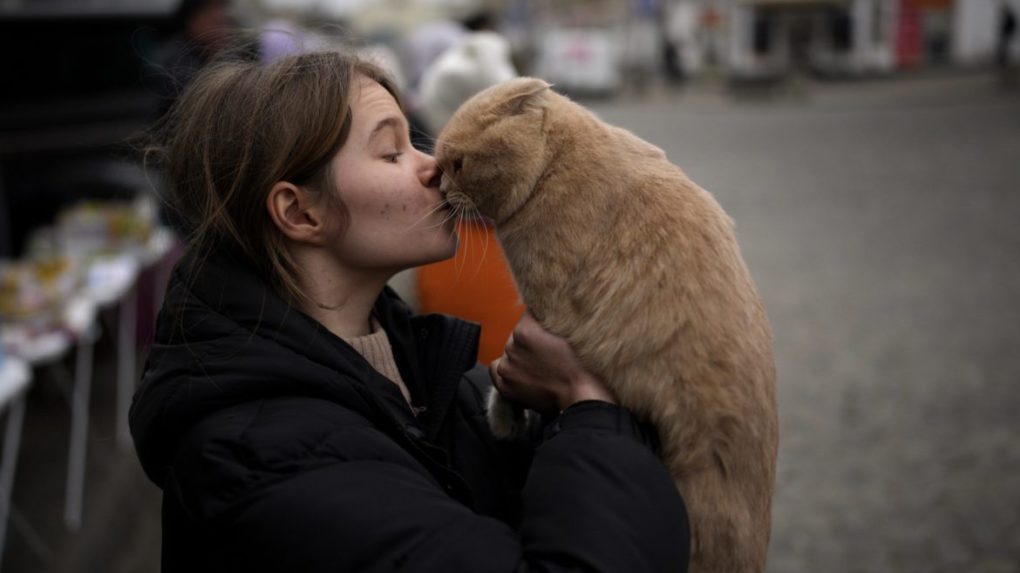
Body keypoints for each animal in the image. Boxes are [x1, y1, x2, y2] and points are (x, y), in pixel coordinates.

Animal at [434, 76, 775, 570]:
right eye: (438, 166)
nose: (440, 187)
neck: (556, 164)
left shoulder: (546, 310)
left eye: (457, 165)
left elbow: (504, 374)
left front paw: (502, 415)